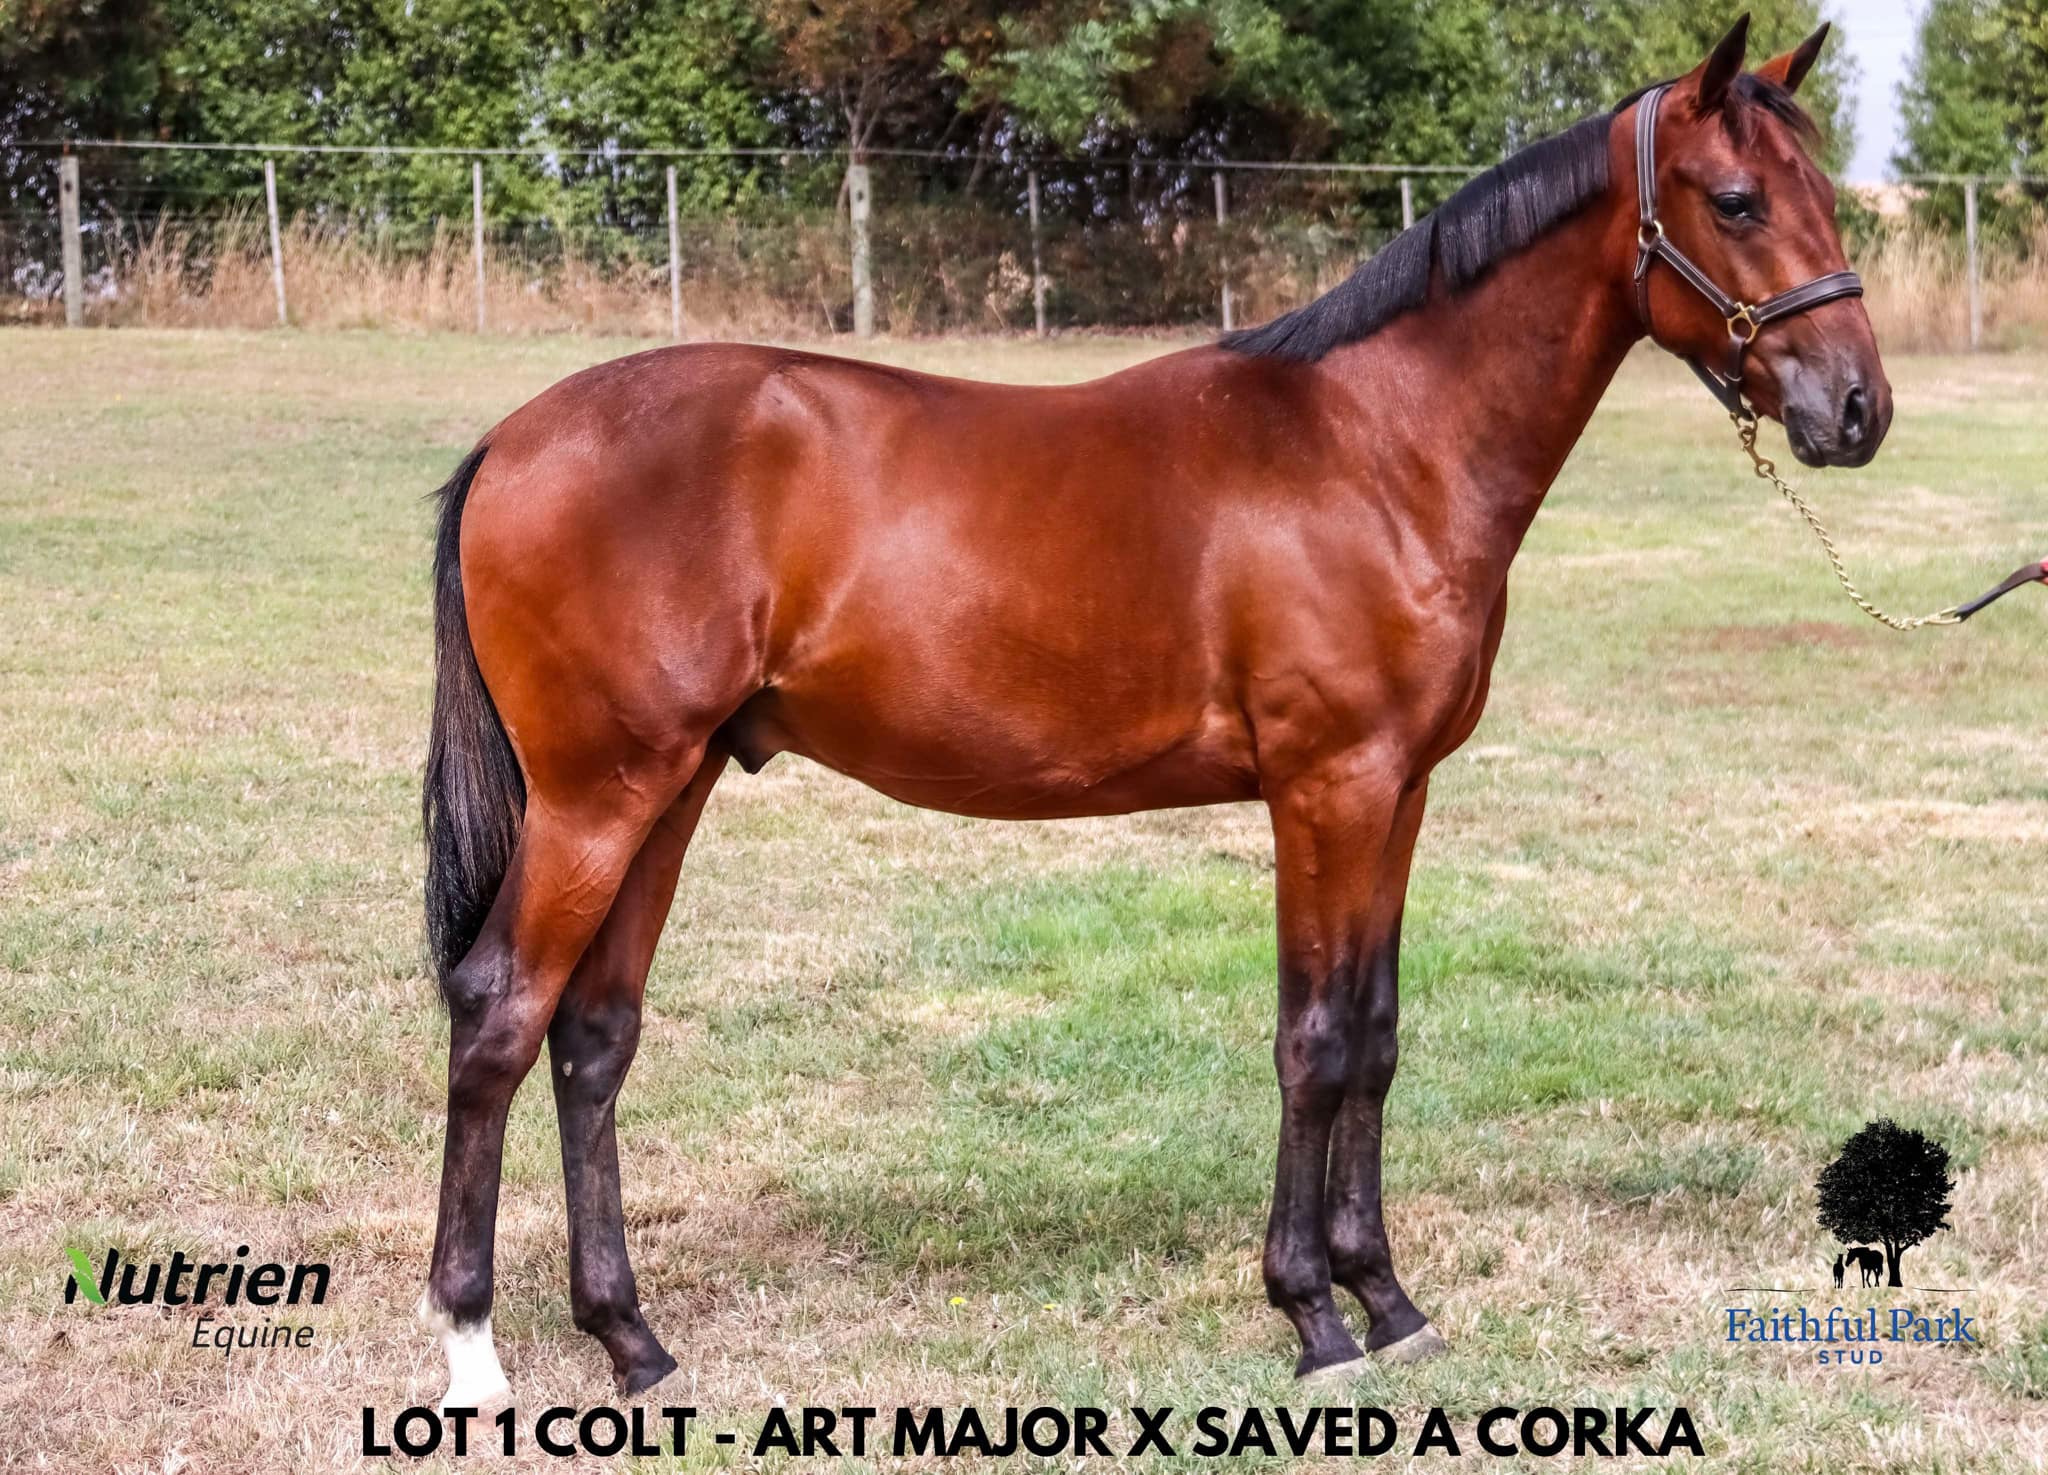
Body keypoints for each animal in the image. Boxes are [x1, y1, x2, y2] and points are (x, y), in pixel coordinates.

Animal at [415, 17, 1887, 1404]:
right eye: (1734, 199)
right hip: (598, 797)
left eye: (1825, 192)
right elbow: (1313, 1038)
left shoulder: (1401, 789)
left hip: (670, 788)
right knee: (498, 1012)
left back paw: (632, 1339)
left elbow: (1376, 1033)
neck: (1377, 448)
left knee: (592, 1037)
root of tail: (509, 439)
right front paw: (1312, 1315)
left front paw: (1389, 1299)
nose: (1856, 408)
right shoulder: (1326, 786)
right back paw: (474, 1346)